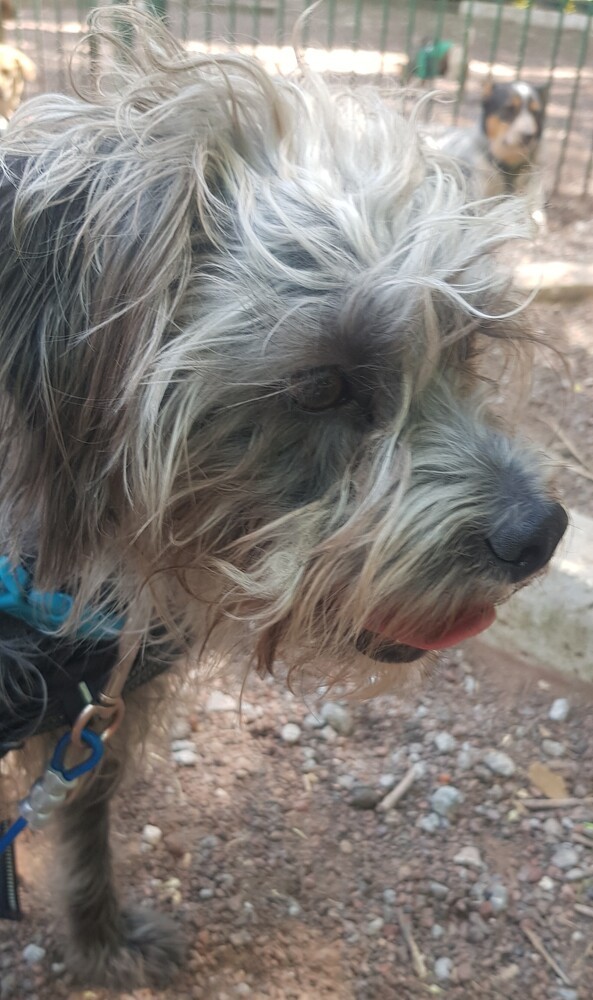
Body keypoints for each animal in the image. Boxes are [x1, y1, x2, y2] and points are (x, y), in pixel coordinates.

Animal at [0, 5, 564, 992]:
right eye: (320, 385)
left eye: (461, 346)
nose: (539, 533)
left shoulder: (95, 718)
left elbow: (86, 818)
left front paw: (100, 937)